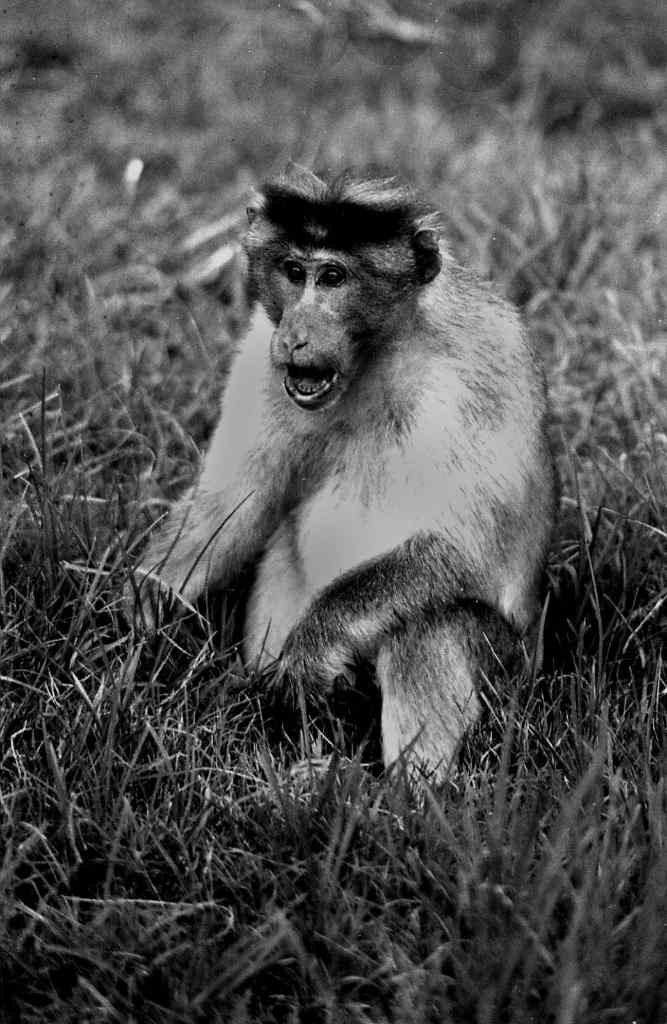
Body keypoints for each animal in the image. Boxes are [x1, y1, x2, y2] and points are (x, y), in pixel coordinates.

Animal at [126, 162, 557, 780]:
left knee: (431, 619)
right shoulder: (262, 352)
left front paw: (316, 640)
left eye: (332, 277)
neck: (381, 351)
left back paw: (403, 789)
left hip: (512, 673)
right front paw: (149, 596)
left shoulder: (475, 373)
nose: (298, 334)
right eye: (293, 272)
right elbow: (235, 502)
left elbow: (461, 549)